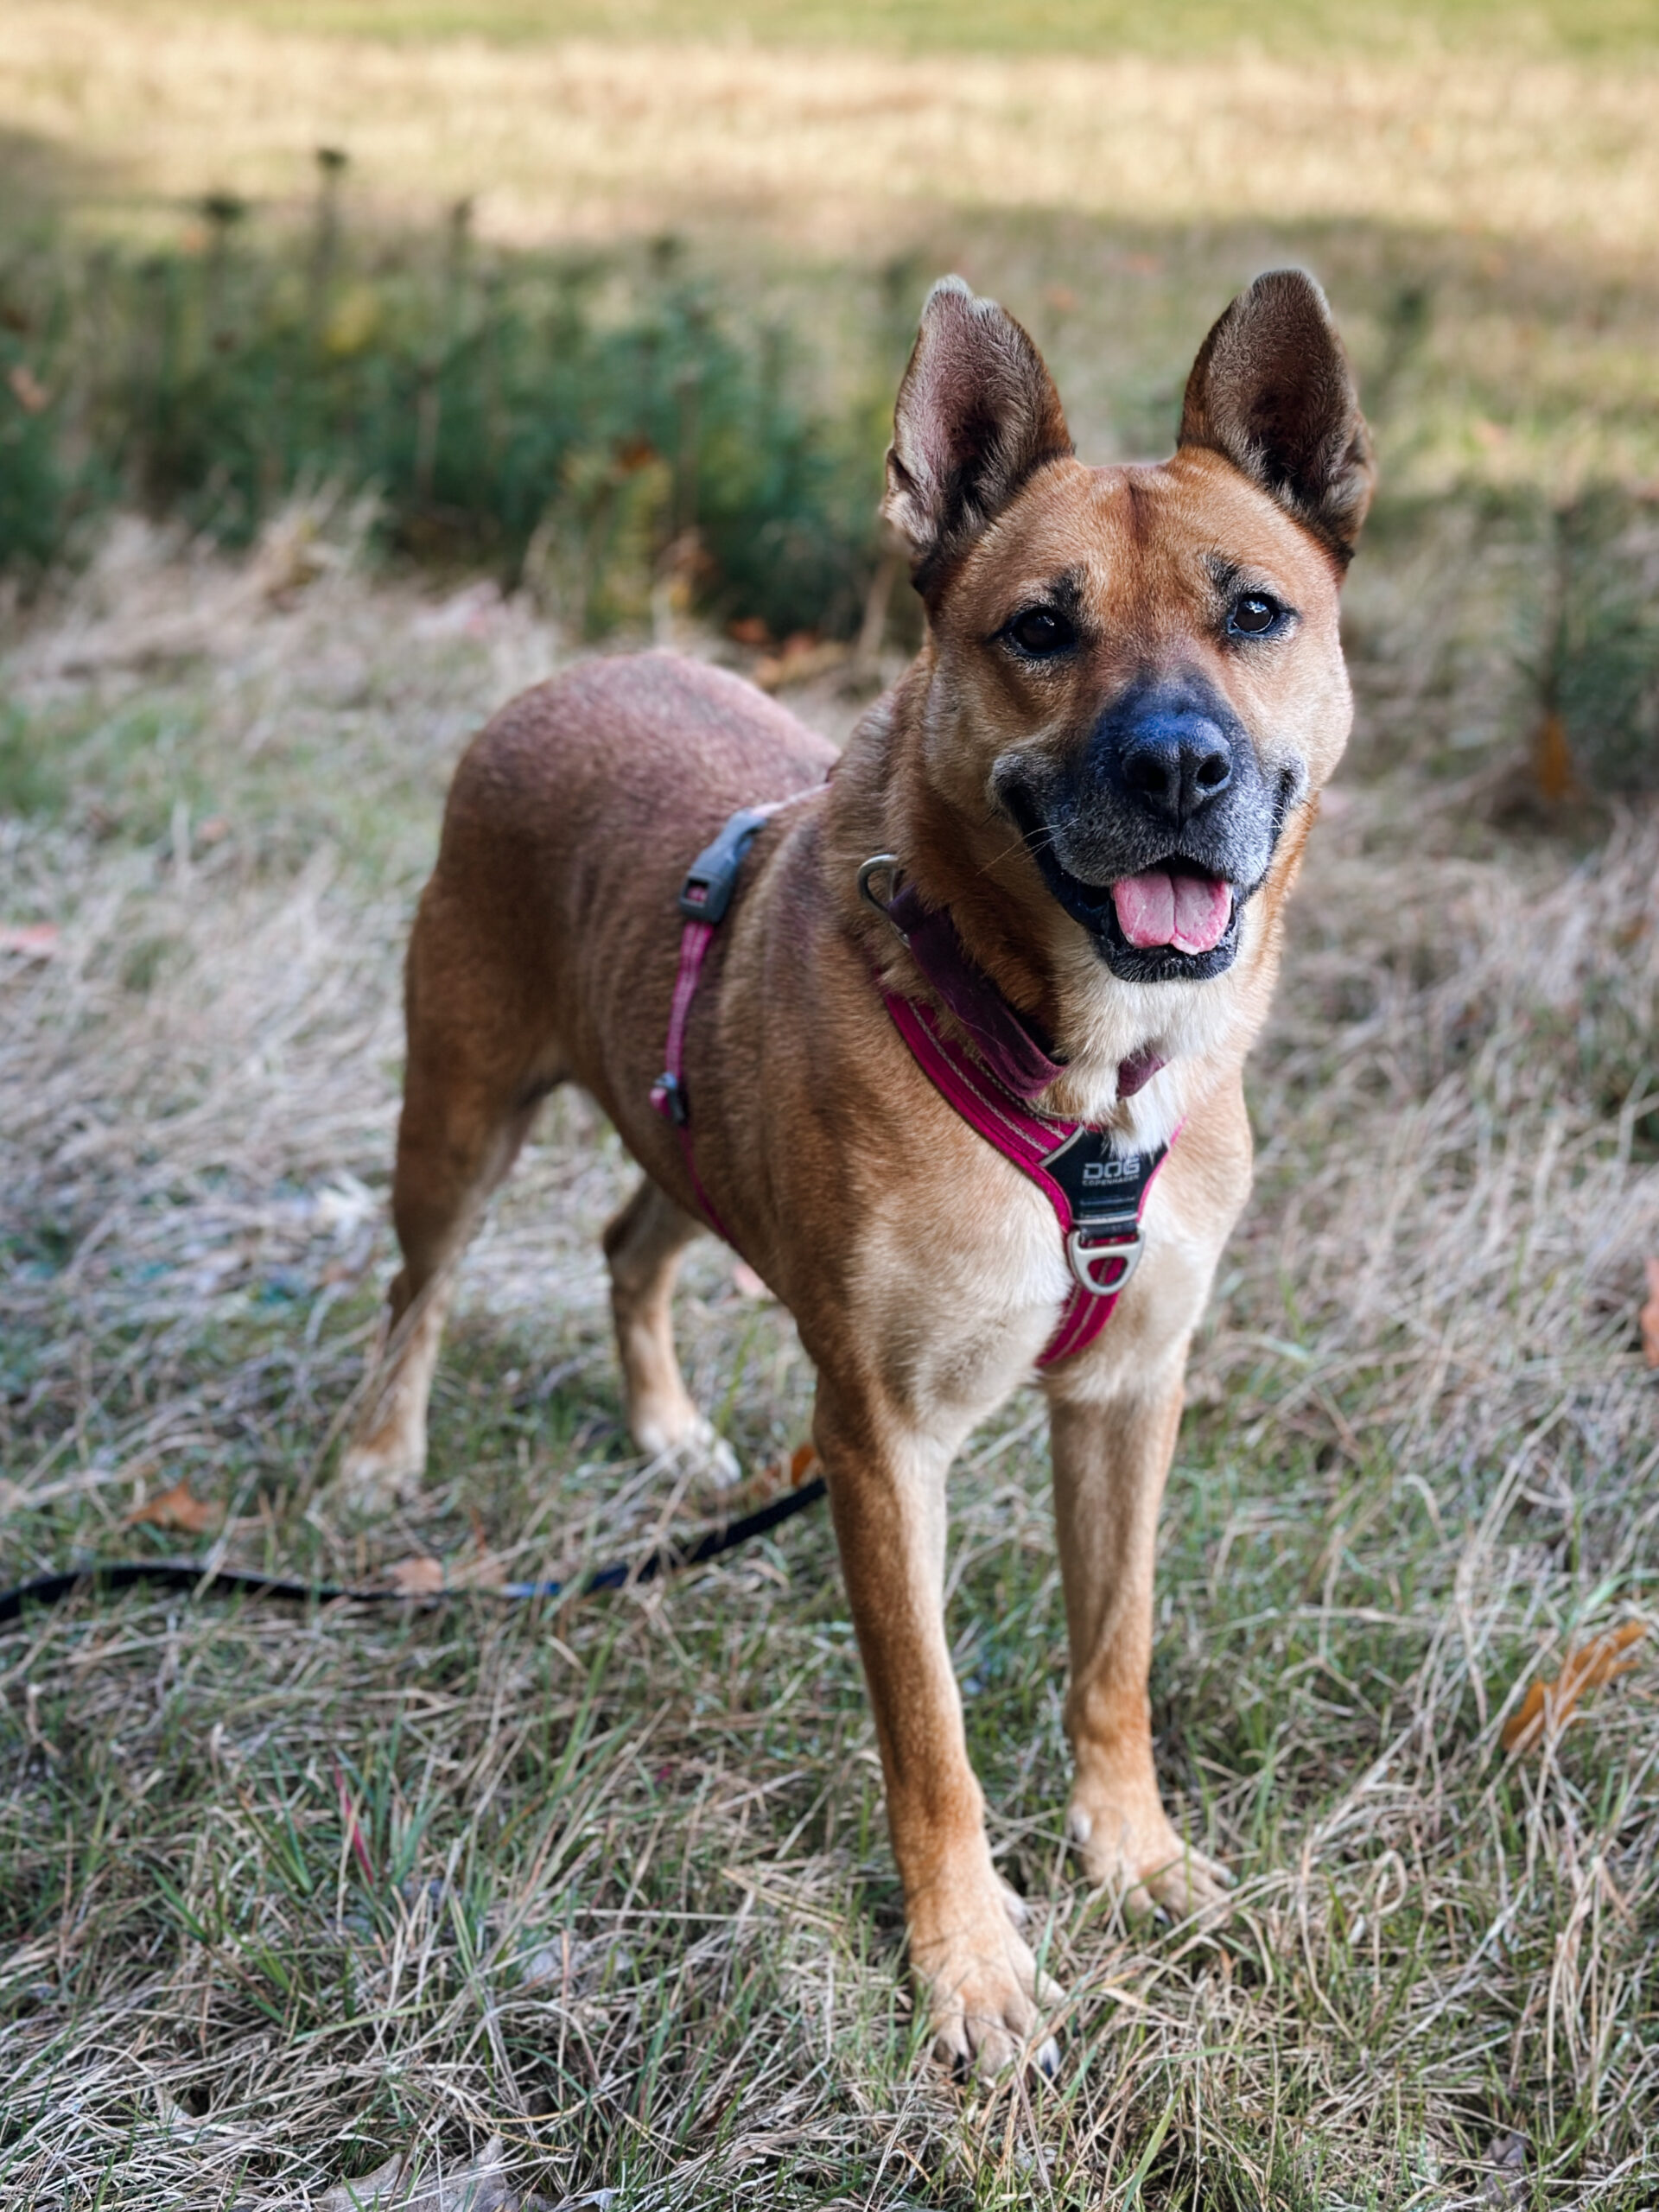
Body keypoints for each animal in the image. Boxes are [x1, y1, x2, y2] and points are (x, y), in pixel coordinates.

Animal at [343, 268, 1373, 2074]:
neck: (1075, 1077)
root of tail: (567, 673)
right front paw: (969, 1964)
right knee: (423, 1286)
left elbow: (1115, 1655)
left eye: (1256, 611)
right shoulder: (884, 1441)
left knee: (627, 1244)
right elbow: (931, 1730)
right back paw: (381, 1458)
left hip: (681, 1126)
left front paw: (1133, 1856)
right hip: (459, 1119)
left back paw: (666, 1428)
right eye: (1039, 629)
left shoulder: (1132, 1394)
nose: (1181, 769)